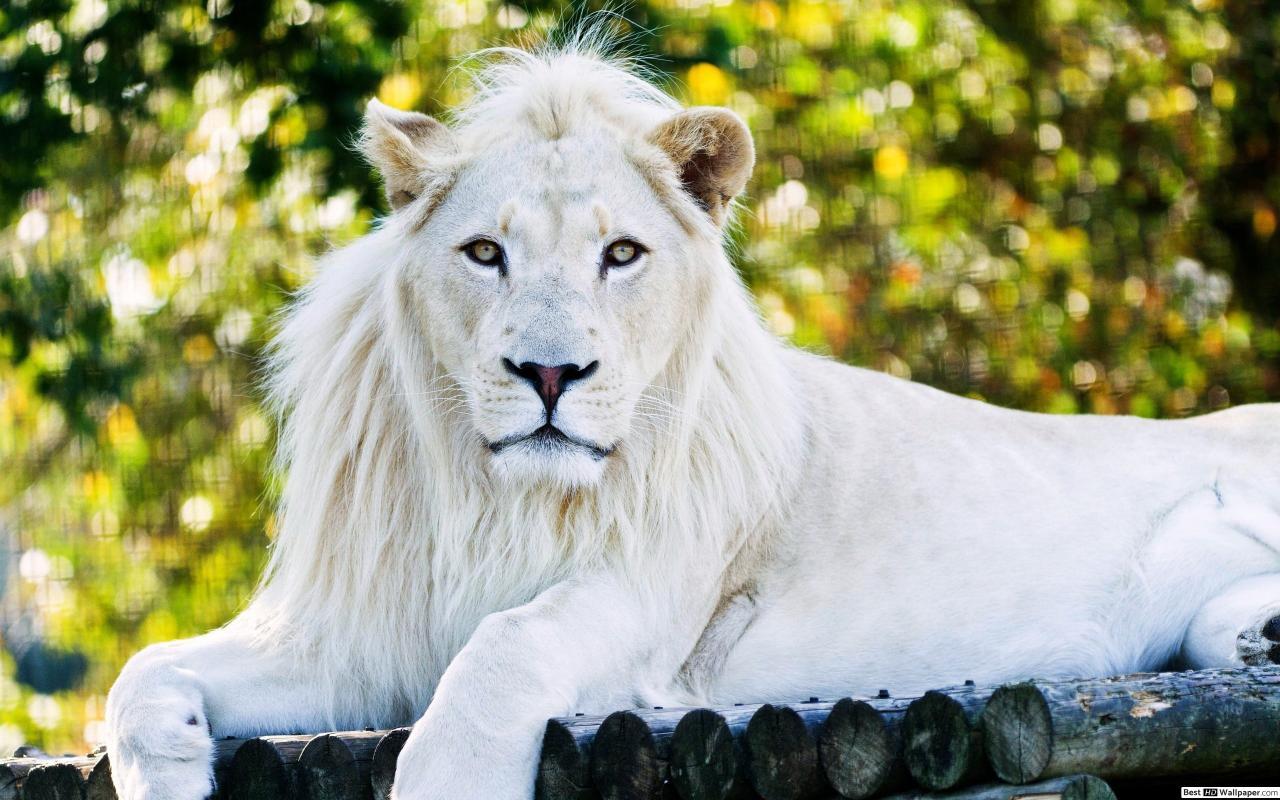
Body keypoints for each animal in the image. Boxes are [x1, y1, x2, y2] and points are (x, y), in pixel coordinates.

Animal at [104, 38, 1280, 800]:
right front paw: (171, 765)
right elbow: (141, 673)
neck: (498, 497)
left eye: (620, 253)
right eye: (485, 252)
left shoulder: (655, 598)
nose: (549, 371)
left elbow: (502, 649)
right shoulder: (360, 633)